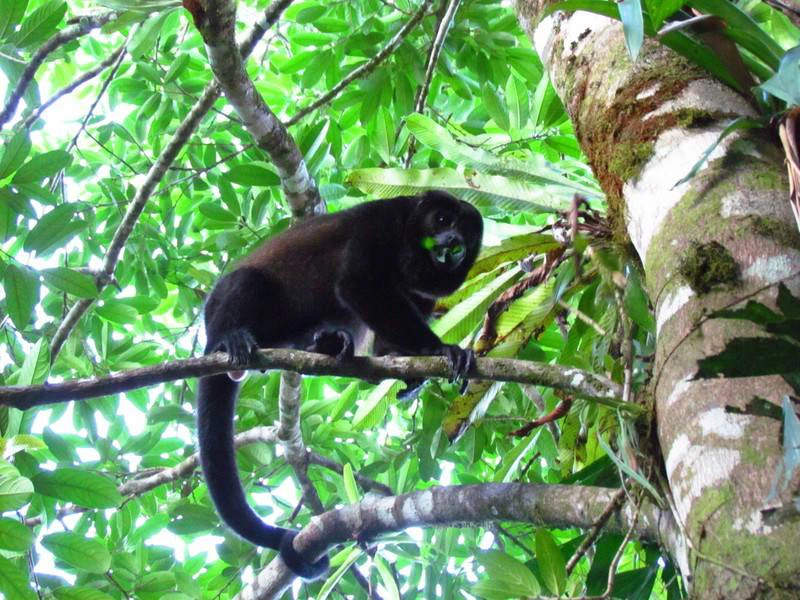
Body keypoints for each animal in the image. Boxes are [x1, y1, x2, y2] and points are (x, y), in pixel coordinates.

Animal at [197, 190, 483, 580]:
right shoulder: (377, 225)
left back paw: (327, 344)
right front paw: (441, 349)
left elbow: (386, 343)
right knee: (247, 282)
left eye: (464, 235)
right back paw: (231, 340)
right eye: (442, 220)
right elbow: (358, 285)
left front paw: (412, 372)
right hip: (222, 310)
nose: (452, 242)